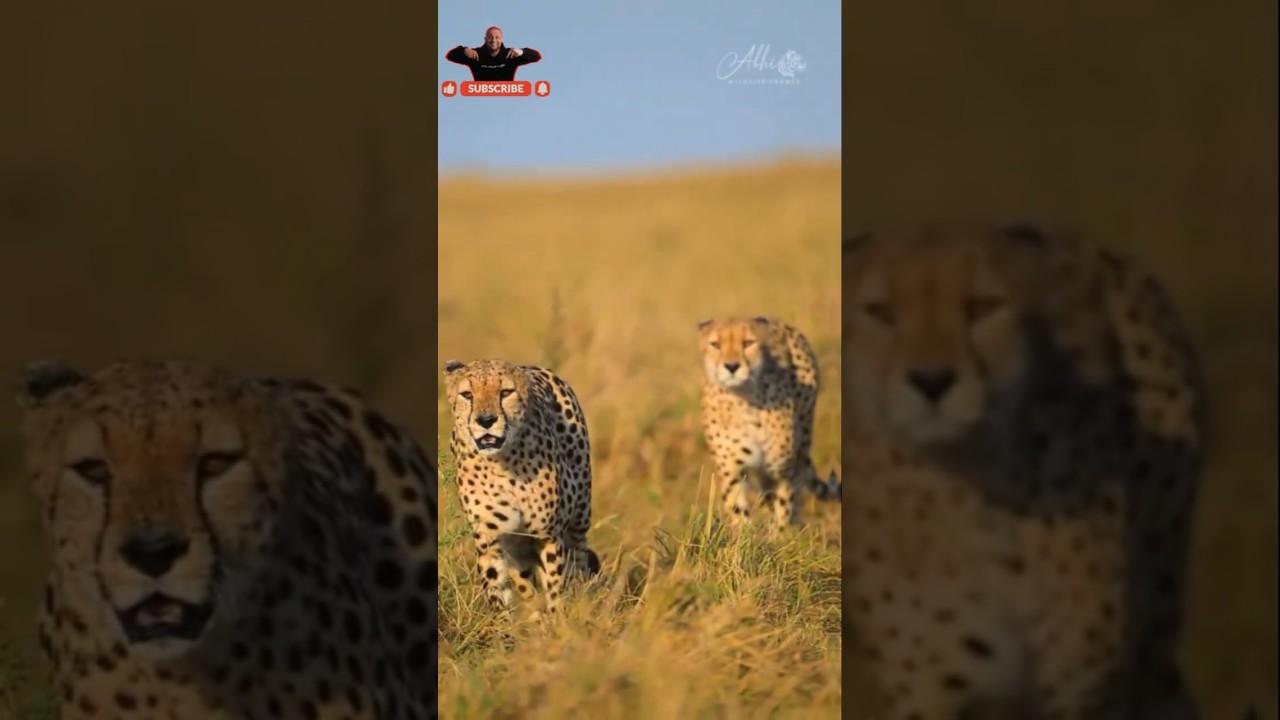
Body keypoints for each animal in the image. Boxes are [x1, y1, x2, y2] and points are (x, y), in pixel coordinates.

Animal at [442, 359, 599, 618]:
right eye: (467, 395)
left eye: (506, 392)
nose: (486, 421)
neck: (502, 464)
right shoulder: (490, 539)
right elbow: (496, 588)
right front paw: (505, 625)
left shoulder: (548, 535)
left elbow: (555, 585)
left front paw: (559, 622)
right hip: (518, 547)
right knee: (526, 583)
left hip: (580, 515)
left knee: (578, 556)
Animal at [697, 315, 842, 530]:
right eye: (715, 344)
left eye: (748, 343)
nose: (732, 366)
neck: (744, 397)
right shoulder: (733, 472)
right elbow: (738, 513)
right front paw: (743, 537)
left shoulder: (780, 472)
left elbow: (783, 510)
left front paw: (781, 536)